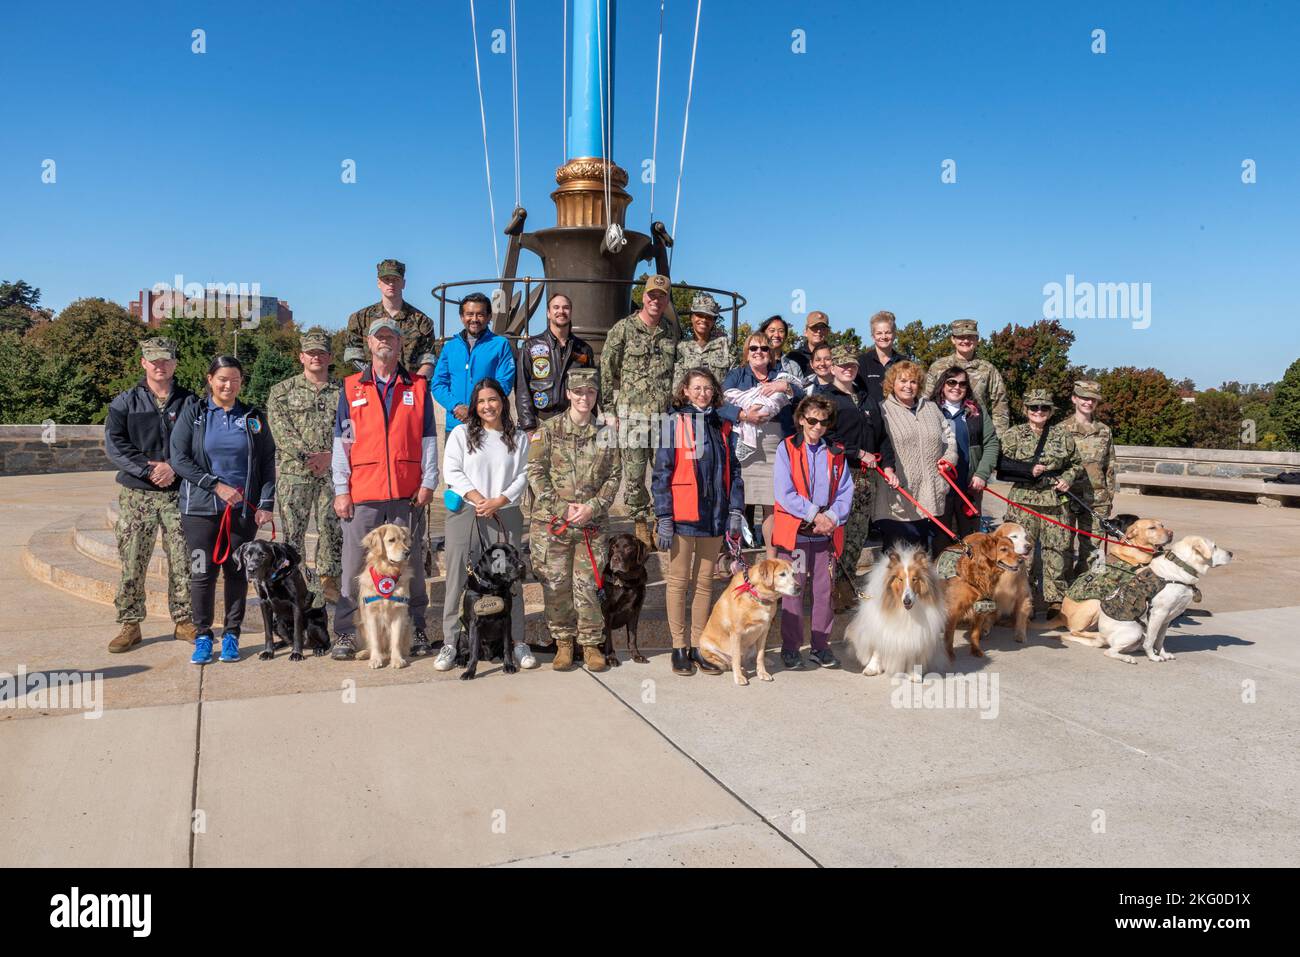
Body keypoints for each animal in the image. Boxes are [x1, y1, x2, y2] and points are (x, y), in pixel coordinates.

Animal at [353, 522, 413, 670]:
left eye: (404, 540)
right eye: (391, 540)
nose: (408, 552)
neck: (387, 572)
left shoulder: (399, 612)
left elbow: (395, 640)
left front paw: (397, 659)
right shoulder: (371, 614)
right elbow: (375, 640)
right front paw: (375, 659)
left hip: (408, 623)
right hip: (359, 623)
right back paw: (363, 653)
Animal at [702, 556, 800, 686]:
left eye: (793, 574)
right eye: (782, 574)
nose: (799, 588)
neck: (756, 594)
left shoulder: (764, 630)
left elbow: (760, 655)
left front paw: (762, 672)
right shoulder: (736, 633)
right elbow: (736, 658)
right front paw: (739, 676)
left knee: (754, 656)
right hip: (705, 644)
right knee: (728, 663)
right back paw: (741, 669)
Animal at [842, 546, 946, 681]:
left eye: (914, 579)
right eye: (900, 579)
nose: (907, 601)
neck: (905, 611)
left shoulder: (915, 637)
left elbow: (912, 655)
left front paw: (913, 673)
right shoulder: (879, 629)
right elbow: (877, 651)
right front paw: (871, 669)